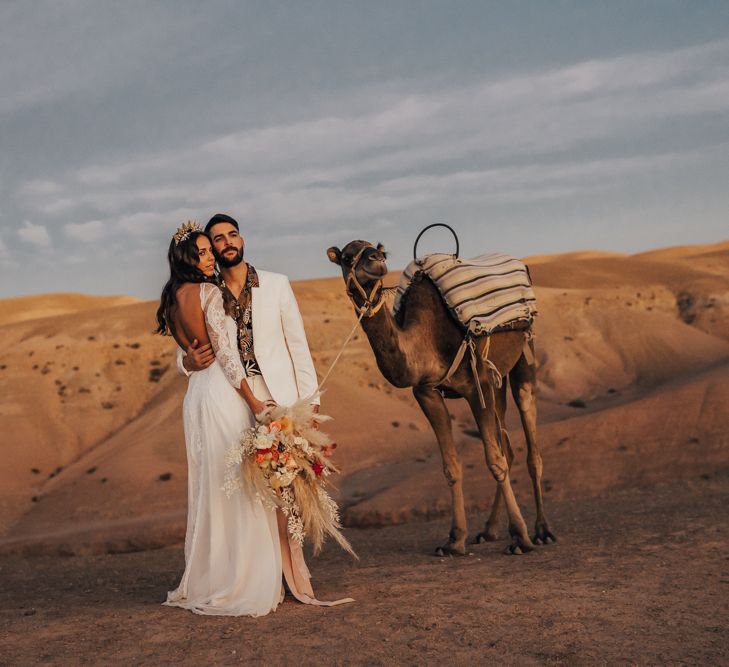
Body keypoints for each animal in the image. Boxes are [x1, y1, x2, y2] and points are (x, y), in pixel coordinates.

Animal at [328, 243, 556, 556]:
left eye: (377, 250)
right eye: (348, 257)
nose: (376, 261)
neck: (426, 339)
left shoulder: (476, 384)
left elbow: (494, 460)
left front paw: (521, 537)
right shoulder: (428, 392)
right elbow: (451, 465)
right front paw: (454, 540)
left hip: (524, 351)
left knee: (531, 447)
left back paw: (542, 531)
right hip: (497, 378)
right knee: (508, 447)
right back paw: (488, 530)